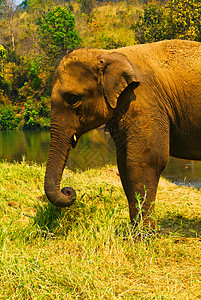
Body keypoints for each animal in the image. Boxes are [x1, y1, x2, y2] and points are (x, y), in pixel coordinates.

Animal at [44, 39, 201, 227]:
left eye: (73, 99)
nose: (68, 191)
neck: (106, 54)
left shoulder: (144, 101)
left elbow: (146, 159)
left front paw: (144, 233)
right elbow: (124, 161)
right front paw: (134, 229)